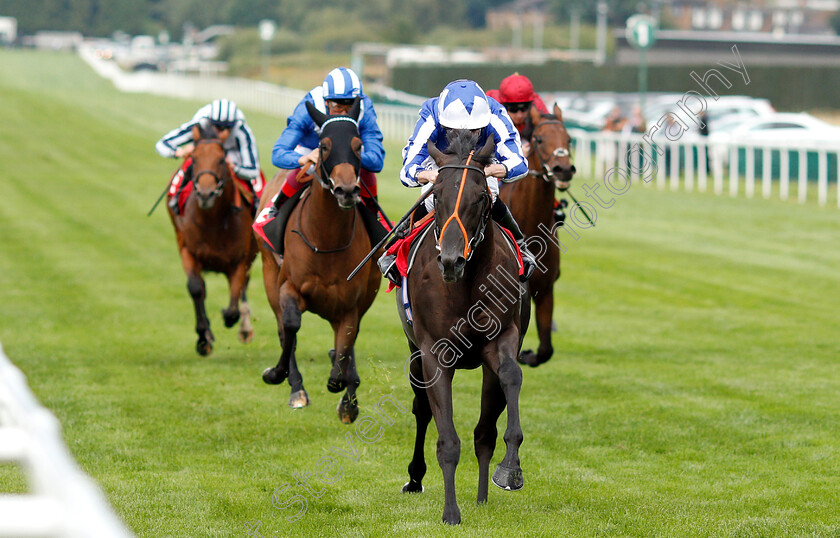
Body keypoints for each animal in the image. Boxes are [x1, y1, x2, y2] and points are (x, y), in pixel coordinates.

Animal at [165, 123, 254, 354]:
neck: (213, 221)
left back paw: (245, 328)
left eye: (222, 159)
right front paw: (203, 337)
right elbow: (196, 288)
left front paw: (232, 319)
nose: (206, 193)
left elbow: (234, 302)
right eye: (194, 159)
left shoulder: (240, 259)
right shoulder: (188, 250)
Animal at [258, 97, 378, 422]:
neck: (326, 240)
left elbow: (344, 353)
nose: (346, 189)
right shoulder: (288, 287)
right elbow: (290, 326)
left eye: (358, 145)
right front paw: (278, 374)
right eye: (324, 146)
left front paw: (347, 396)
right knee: (284, 329)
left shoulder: (350, 305)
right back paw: (296, 388)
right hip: (268, 272)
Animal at [400, 130, 532, 524]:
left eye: (480, 197)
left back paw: (482, 497)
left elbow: (511, 376)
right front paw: (450, 512)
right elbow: (446, 439)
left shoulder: (503, 338)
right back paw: (415, 478)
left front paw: (510, 470)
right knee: (422, 410)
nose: (451, 261)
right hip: (414, 355)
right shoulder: (433, 353)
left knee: (485, 429)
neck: (465, 285)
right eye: (437, 194)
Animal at [498, 102, 576, 366]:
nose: (563, 169)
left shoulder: (546, 290)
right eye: (539, 139)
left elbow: (546, 349)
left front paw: (529, 355)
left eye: (568, 138)